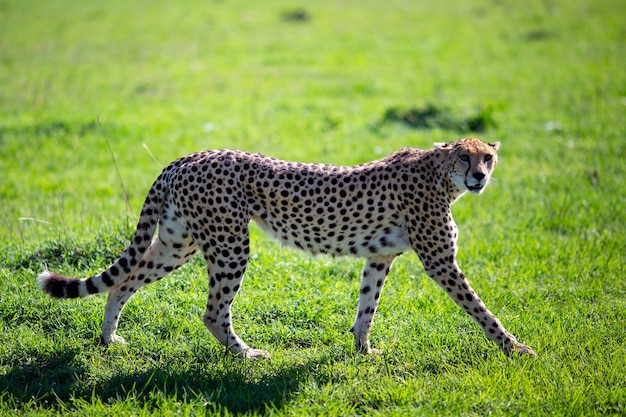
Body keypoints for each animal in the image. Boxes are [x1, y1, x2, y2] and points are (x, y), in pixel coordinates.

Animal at [39, 136, 532, 358]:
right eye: (464, 156)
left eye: (488, 157)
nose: (479, 177)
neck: (437, 173)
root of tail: (189, 156)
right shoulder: (440, 261)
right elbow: (481, 309)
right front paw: (515, 348)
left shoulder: (379, 256)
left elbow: (367, 306)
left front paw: (363, 350)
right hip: (229, 244)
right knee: (212, 311)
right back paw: (245, 354)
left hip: (178, 243)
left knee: (124, 282)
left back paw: (108, 338)